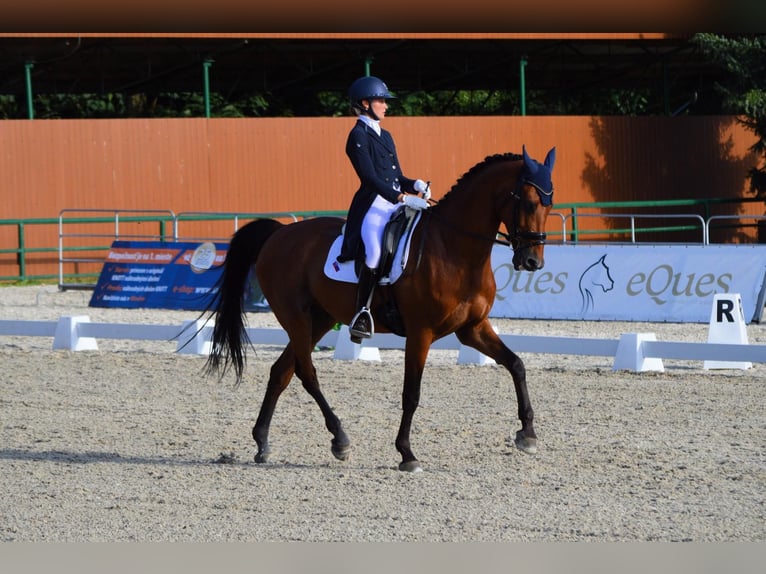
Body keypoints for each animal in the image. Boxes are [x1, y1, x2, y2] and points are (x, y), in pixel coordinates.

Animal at [204, 146, 560, 474]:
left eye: (549, 204)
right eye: (529, 203)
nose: (532, 262)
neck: (454, 248)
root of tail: (279, 233)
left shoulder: (472, 328)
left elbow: (516, 364)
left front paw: (527, 435)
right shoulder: (421, 333)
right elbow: (411, 393)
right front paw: (407, 454)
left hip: (319, 319)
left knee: (281, 372)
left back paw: (262, 443)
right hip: (296, 318)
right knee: (306, 373)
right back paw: (339, 440)